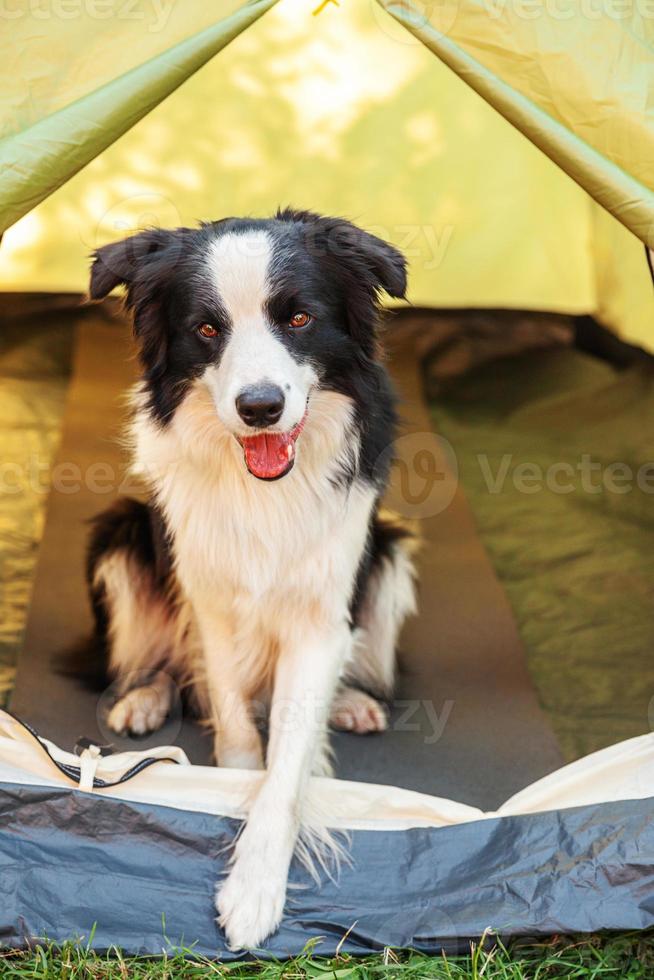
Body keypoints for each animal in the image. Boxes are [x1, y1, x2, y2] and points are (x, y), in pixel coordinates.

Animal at [86, 209, 416, 948]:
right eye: (207, 329)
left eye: (298, 318)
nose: (260, 407)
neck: (262, 485)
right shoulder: (210, 596)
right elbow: (234, 712)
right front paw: (222, 790)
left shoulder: (321, 615)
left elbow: (288, 761)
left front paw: (256, 886)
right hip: (121, 536)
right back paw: (142, 698)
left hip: (388, 558)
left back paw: (353, 702)